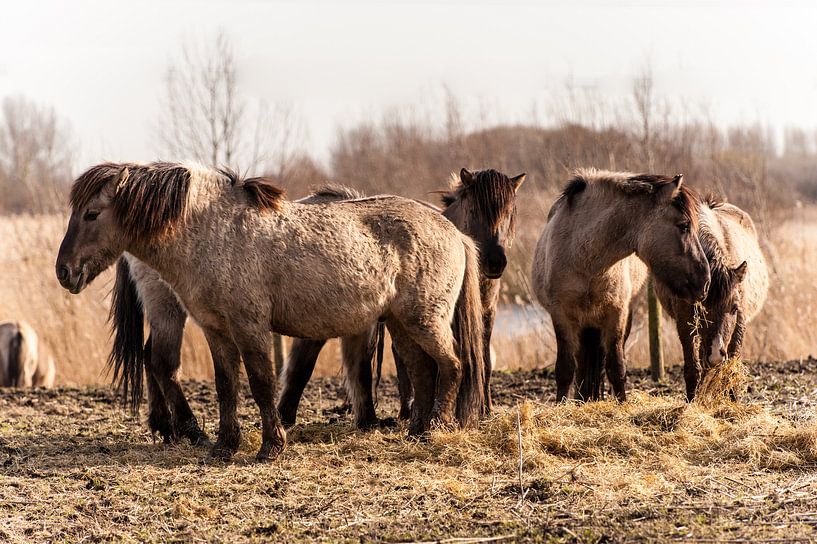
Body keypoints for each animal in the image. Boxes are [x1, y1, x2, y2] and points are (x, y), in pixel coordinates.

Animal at [56, 162, 485, 461]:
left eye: (91, 213)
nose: (64, 271)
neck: (213, 231)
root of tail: (454, 233)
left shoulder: (250, 327)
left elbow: (262, 382)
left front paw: (270, 447)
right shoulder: (215, 329)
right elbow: (227, 385)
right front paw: (224, 447)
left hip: (424, 320)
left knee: (451, 365)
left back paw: (436, 429)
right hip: (401, 323)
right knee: (423, 370)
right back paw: (417, 432)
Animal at [277, 168, 525, 427]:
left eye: (510, 213)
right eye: (474, 210)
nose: (495, 262)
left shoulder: (486, 317)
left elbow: (483, 360)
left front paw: (484, 409)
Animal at [531, 169, 711, 402]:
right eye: (684, 226)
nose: (705, 280)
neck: (583, 256)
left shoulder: (616, 314)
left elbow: (616, 367)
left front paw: (622, 403)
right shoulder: (561, 315)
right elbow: (565, 369)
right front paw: (561, 404)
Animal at [654, 196, 768, 400]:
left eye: (733, 308)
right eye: (701, 309)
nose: (716, 353)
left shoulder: (740, 321)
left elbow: (731, 362)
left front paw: (732, 399)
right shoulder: (686, 320)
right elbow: (693, 367)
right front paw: (693, 401)